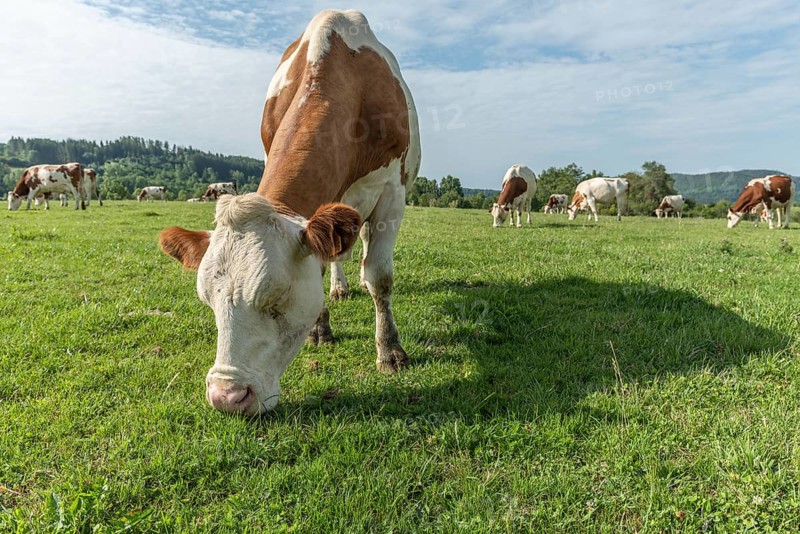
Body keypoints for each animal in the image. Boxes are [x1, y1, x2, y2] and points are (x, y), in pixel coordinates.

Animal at [158, 10, 421, 415]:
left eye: (278, 299)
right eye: (208, 301)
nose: (226, 398)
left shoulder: (393, 189)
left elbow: (380, 277)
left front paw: (390, 351)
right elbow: (322, 264)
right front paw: (320, 328)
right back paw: (340, 287)